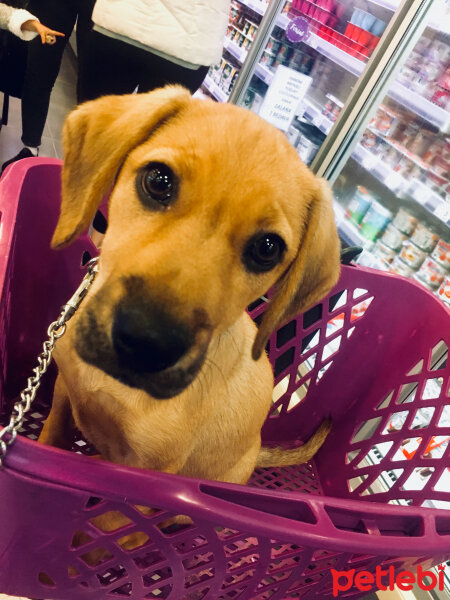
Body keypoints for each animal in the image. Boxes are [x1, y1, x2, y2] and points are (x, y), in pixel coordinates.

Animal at [39, 85, 342, 488]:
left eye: (267, 248)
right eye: (158, 181)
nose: (146, 343)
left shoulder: (149, 475)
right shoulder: (62, 398)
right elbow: (49, 438)